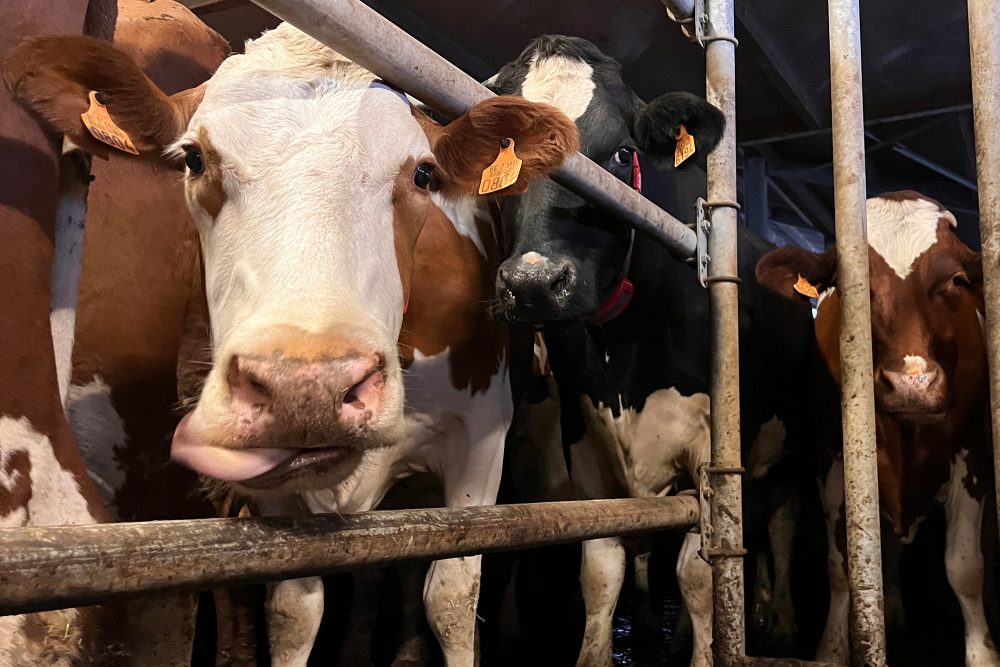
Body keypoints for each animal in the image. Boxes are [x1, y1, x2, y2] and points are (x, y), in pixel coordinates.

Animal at [3, 23, 580, 664]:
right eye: (195, 159)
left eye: (423, 174)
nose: (307, 386)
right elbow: (295, 611)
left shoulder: (481, 442)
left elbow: (452, 596)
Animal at [488, 36, 816, 667]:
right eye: (497, 160)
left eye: (620, 153)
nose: (534, 283)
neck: (623, 360)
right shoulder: (587, 447)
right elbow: (602, 568)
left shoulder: (714, 452)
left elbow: (699, 574)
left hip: (806, 449)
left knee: (788, 527)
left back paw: (789, 623)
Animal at [756, 192, 1000, 667]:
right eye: (849, 286)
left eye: (957, 280)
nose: (912, 383)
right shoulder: (831, 460)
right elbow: (843, 565)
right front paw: (832, 648)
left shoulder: (972, 458)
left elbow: (965, 567)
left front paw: (982, 653)